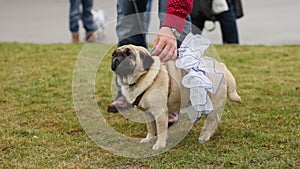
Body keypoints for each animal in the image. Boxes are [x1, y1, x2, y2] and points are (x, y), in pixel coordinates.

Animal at [111, 44, 243, 150]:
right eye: (114, 54)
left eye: (129, 54)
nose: (116, 58)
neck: (142, 77)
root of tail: (222, 66)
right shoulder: (147, 113)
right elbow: (151, 127)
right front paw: (149, 138)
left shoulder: (160, 113)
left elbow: (161, 130)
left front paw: (159, 145)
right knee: (215, 120)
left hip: (212, 103)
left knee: (212, 120)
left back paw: (205, 137)